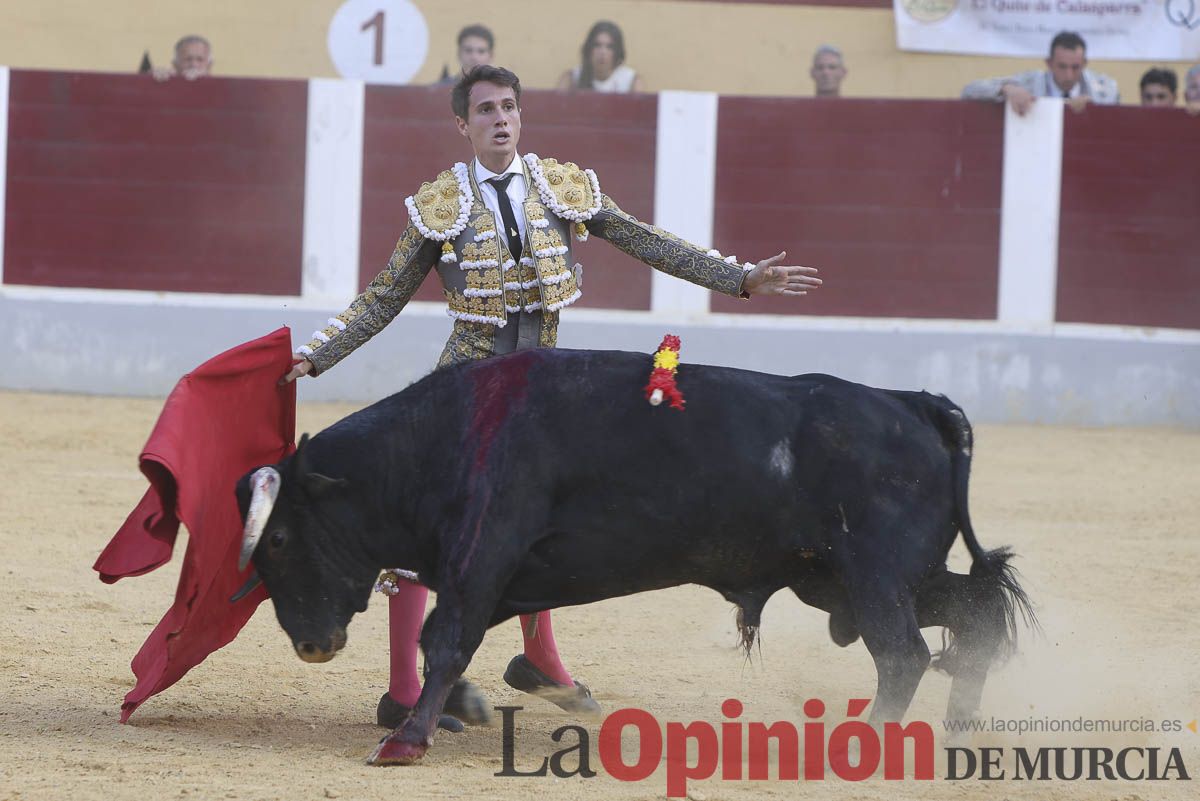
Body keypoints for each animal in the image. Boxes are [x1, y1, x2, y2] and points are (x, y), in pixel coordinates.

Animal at [238, 347, 1036, 767]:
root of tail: (915, 402)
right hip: (861, 579)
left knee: (903, 653)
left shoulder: (480, 556)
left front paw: (405, 740)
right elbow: (459, 643)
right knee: (973, 615)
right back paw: (954, 731)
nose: (311, 643)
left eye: (278, 538)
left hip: (874, 576)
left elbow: (446, 640)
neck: (444, 437)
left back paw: (864, 742)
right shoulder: (500, 575)